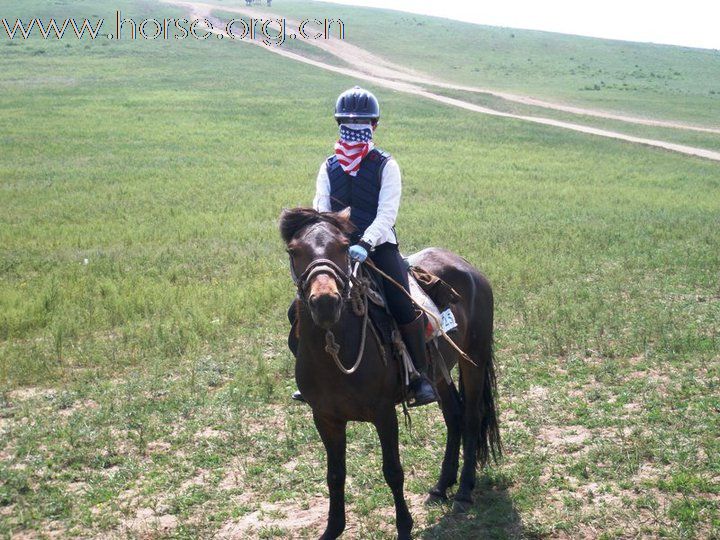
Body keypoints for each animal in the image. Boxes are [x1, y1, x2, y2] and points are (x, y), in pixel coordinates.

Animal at [278, 207, 498, 540]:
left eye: (345, 247)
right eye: (294, 251)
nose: (326, 302)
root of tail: (468, 267)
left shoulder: (384, 413)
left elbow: (393, 471)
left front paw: (405, 527)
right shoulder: (325, 417)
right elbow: (334, 474)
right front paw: (333, 528)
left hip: (475, 360)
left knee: (471, 418)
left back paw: (463, 491)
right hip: (439, 374)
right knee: (454, 416)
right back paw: (441, 486)